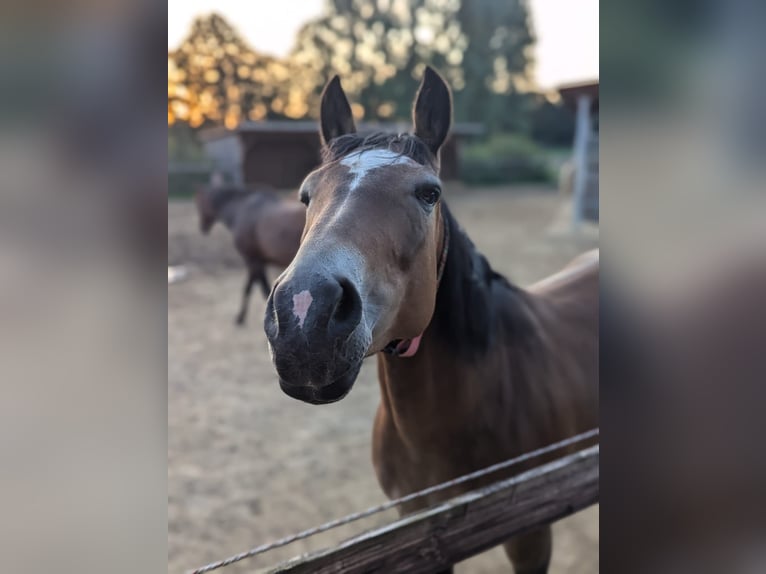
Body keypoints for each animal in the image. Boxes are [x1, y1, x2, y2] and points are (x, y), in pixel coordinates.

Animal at [194, 182, 305, 326]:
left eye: (199, 203)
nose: (202, 228)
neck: (241, 210)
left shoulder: (251, 260)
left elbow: (251, 288)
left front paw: (240, 317)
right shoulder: (259, 261)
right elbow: (261, 288)